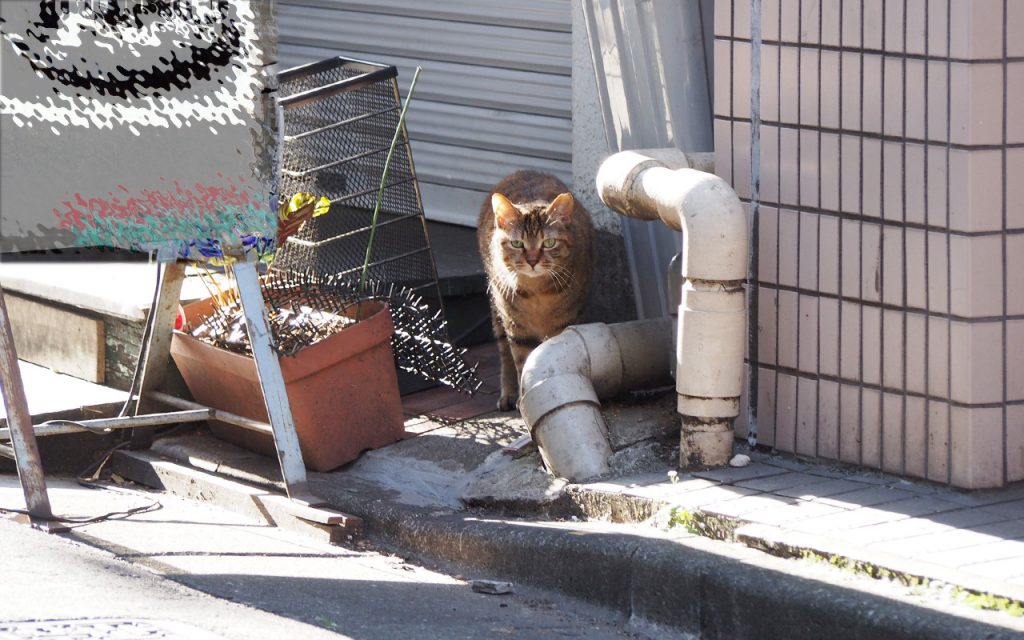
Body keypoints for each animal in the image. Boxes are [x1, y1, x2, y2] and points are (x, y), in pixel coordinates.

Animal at [477, 169, 598, 409]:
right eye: (517, 244)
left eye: (549, 243)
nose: (532, 260)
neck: (537, 293)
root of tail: (523, 170)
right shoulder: (517, 328)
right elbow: (523, 362)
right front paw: (526, 398)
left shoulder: (566, 322)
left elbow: (556, 354)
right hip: (498, 310)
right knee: (504, 353)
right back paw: (508, 393)